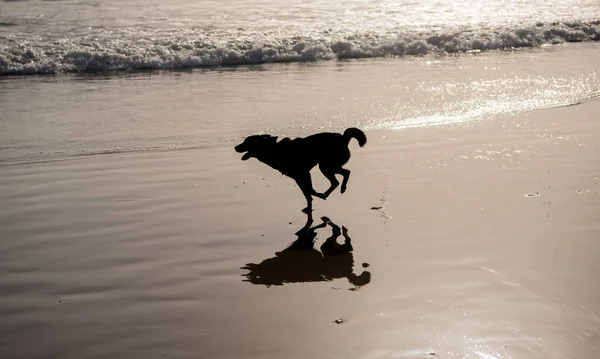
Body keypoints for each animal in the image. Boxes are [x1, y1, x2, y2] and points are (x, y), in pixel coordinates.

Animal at [234, 128, 366, 212]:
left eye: (247, 142)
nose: (235, 147)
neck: (273, 150)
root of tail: (343, 138)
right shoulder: (299, 178)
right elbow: (307, 193)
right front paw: (309, 207)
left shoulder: (303, 174)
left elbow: (309, 191)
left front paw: (317, 195)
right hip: (327, 166)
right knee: (338, 179)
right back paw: (329, 193)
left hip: (326, 166)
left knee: (344, 175)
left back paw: (338, 190)